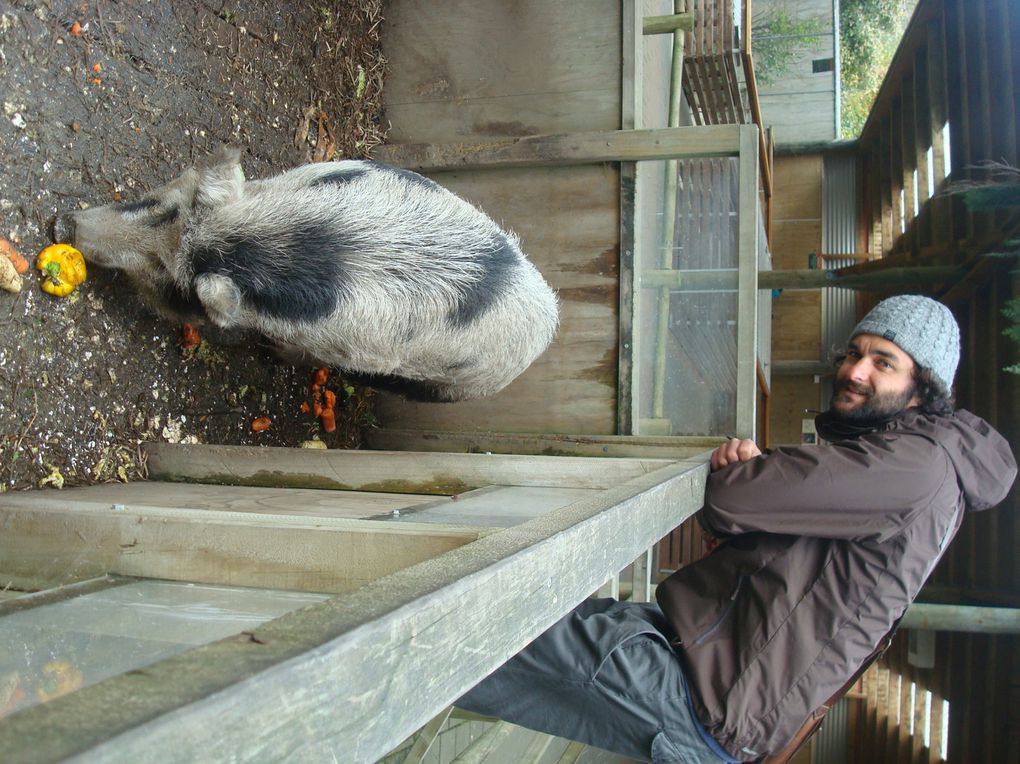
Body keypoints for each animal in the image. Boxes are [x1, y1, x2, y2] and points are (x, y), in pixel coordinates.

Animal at [52, 145, 563, 401]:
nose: (69, 226)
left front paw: (274, 351)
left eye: (175, 284)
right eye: (162, 206)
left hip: (449, 385)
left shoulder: (345, 344)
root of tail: (549, 320)